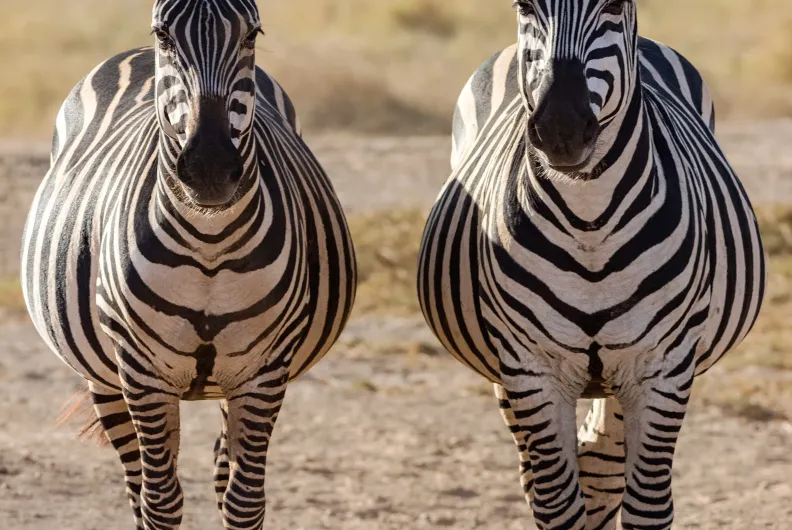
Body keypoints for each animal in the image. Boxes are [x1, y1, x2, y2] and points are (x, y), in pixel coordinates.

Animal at [20, 0, 356, 528]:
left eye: (252, 34)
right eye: (164, 34)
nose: (211, 170)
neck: (209, 244)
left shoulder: (265, 371)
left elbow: (244, 501)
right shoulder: (141, 371)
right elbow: (160, 502)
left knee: (220, 470)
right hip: (105, 377)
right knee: (138, 485)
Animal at [417, 1, 766, 529]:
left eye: (614, 5)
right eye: (524, 6)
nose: (560, 130)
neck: (590, 223)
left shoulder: (663, 367)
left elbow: (643, 506)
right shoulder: (530, 367)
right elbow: (558, 503)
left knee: (602, 466)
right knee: (550, 477)